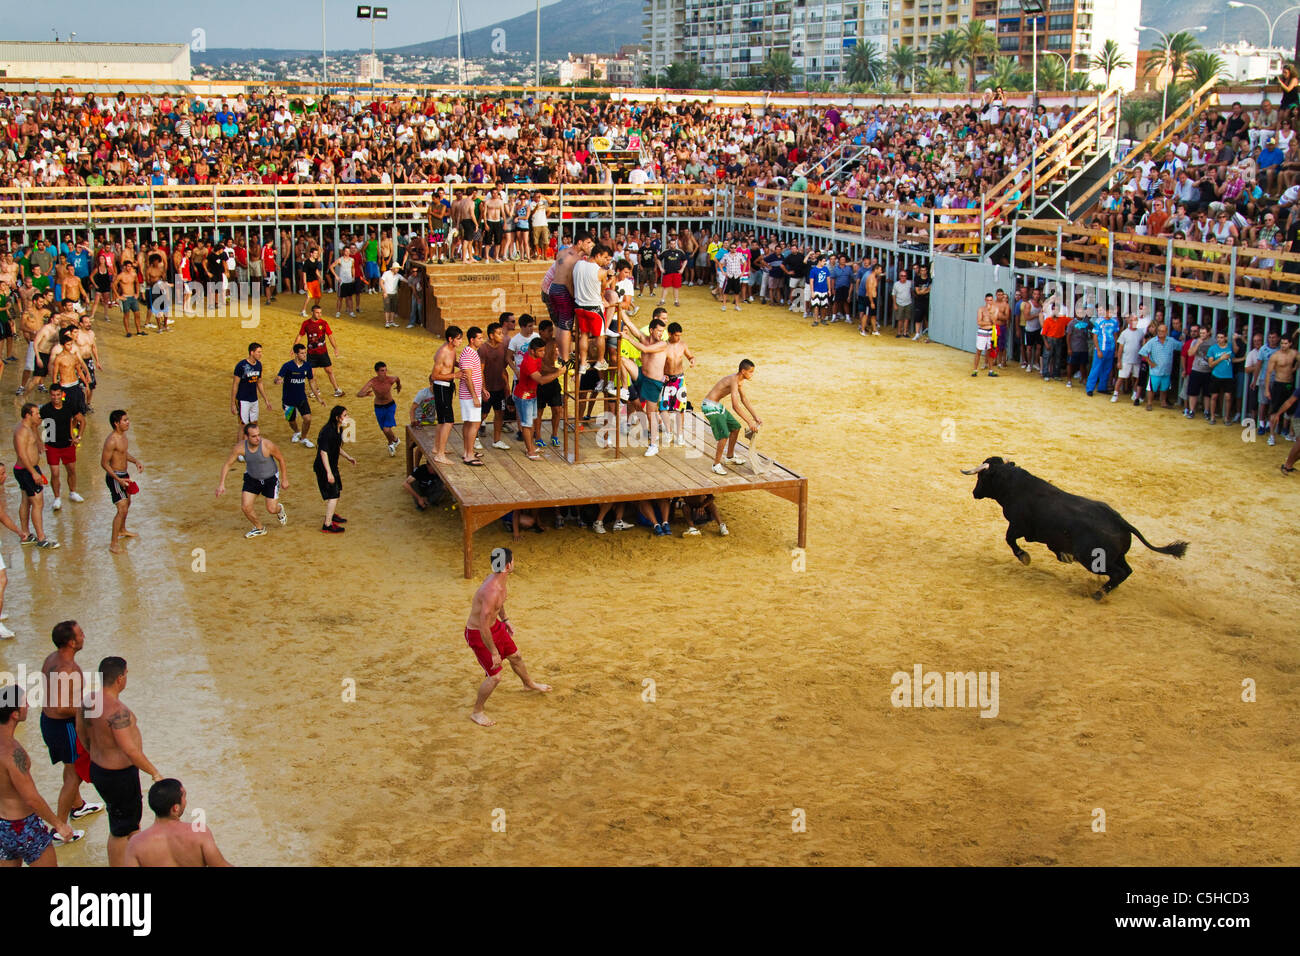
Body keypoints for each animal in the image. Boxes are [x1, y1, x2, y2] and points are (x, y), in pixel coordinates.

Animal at [967, 455, 1190, 598]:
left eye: (981, 477)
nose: (974, 493)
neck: (1014, 485)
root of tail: (1120, 521)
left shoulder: (1017, 526)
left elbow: (1010, 540)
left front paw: (1025, 557)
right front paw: (1064, 556)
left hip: (1093, 559)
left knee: (1118, 573)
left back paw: (1098, 594)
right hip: (1117, 556)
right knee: (1126, 571)